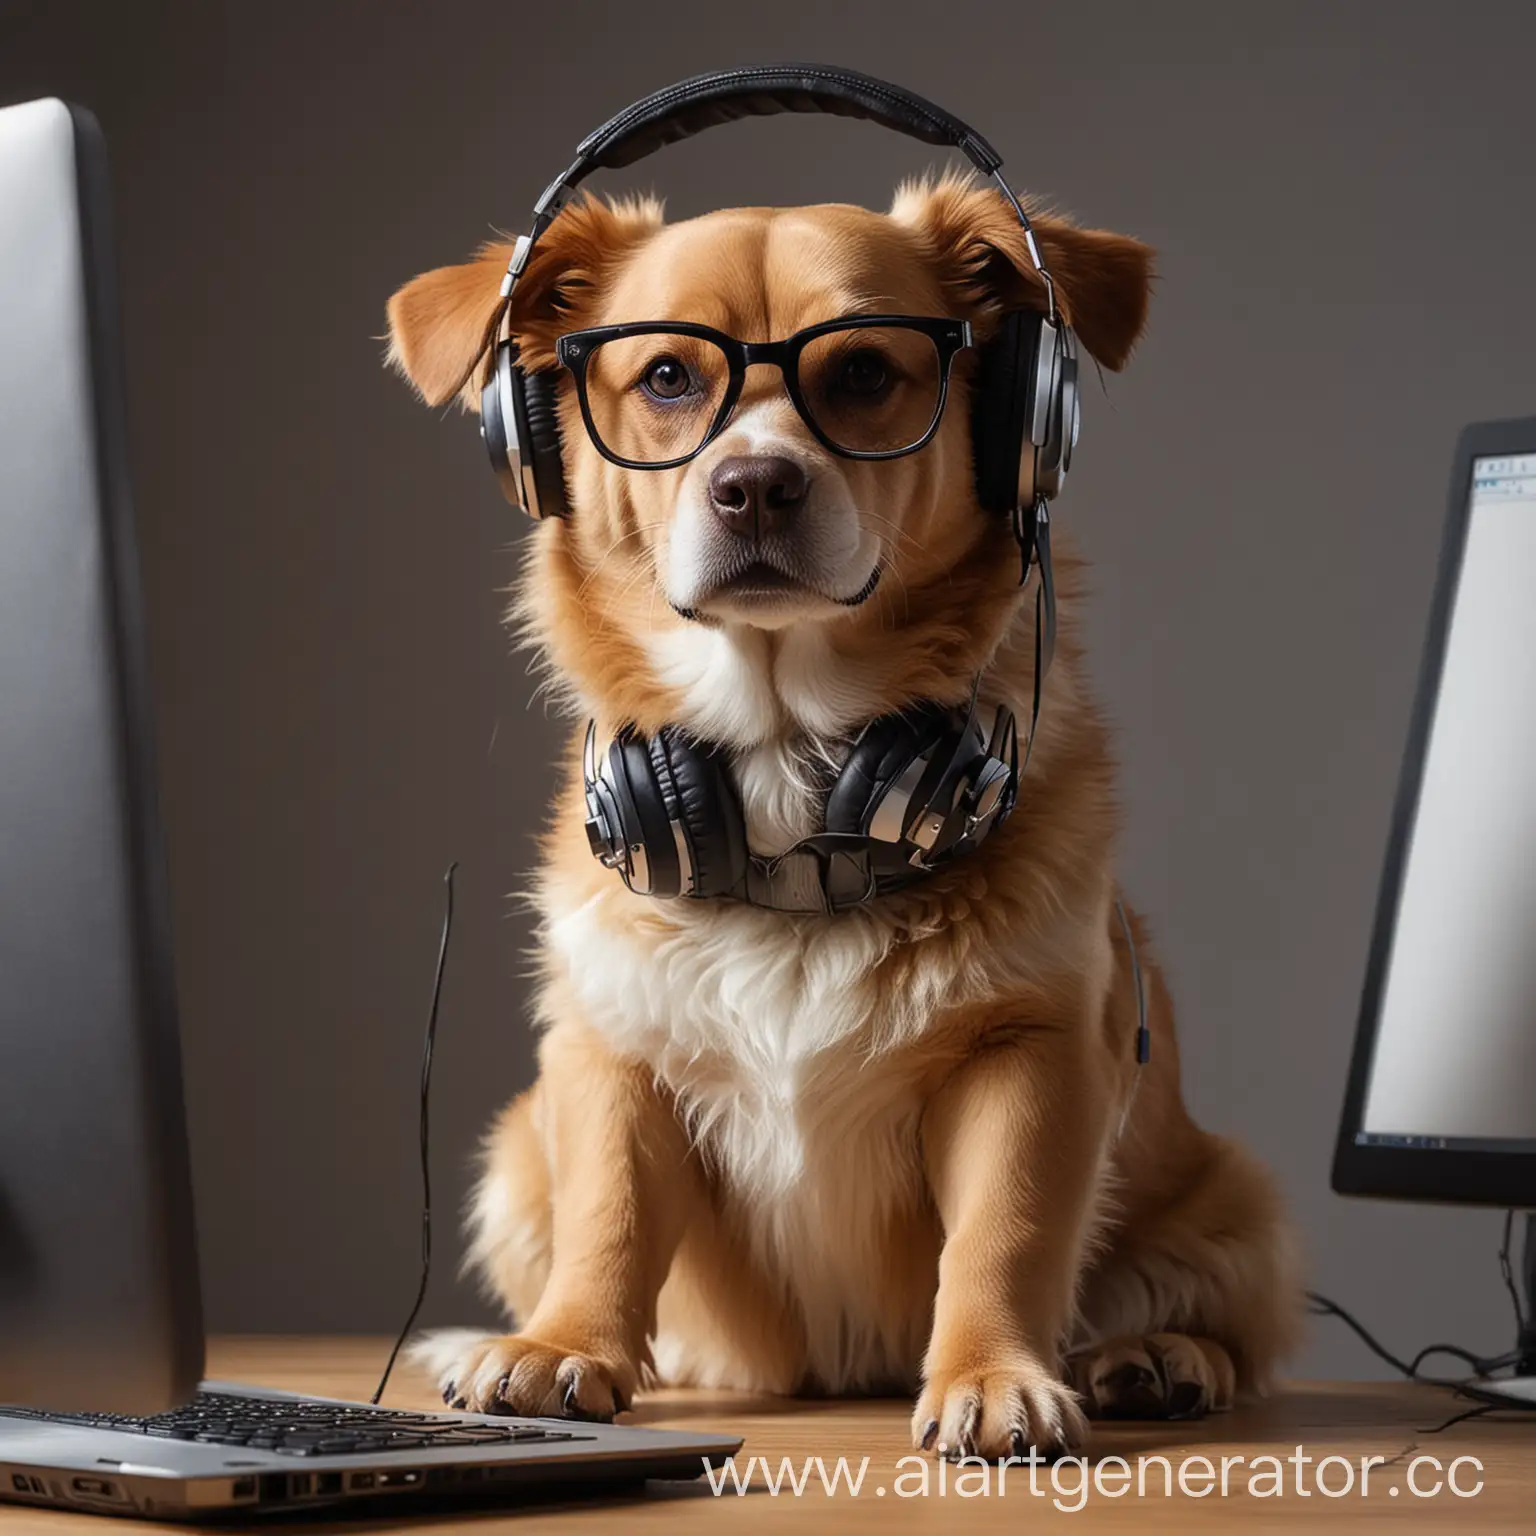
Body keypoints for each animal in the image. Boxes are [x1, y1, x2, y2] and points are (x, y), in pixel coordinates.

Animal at [384, 174, 1296, 1456]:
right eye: (668, 377)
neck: (793, 800)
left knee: (1222, 1322)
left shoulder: (1031, 1058)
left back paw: (1157, 1357)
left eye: (864, 371)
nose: (755, 485)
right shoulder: (607, 1058)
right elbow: (608, 1217)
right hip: (514, 1155)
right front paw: (568, 1348)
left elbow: (1006, 1234)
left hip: (1239, 1202)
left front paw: (992, 1374)